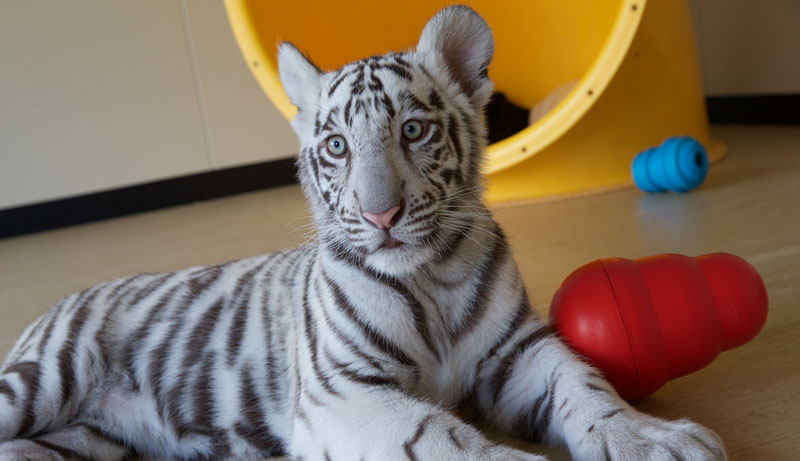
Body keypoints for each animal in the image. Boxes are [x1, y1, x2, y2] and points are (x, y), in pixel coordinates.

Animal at [0, 6, 726, 461]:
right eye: (336, 146)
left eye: (413, 130)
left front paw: (656, 439)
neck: (433, 276)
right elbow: (440, 435)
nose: (381, 215)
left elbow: (587, 386)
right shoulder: (344, 390)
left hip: (82, 436)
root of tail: (52, 308)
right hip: (43, 378)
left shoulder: (517, 354)